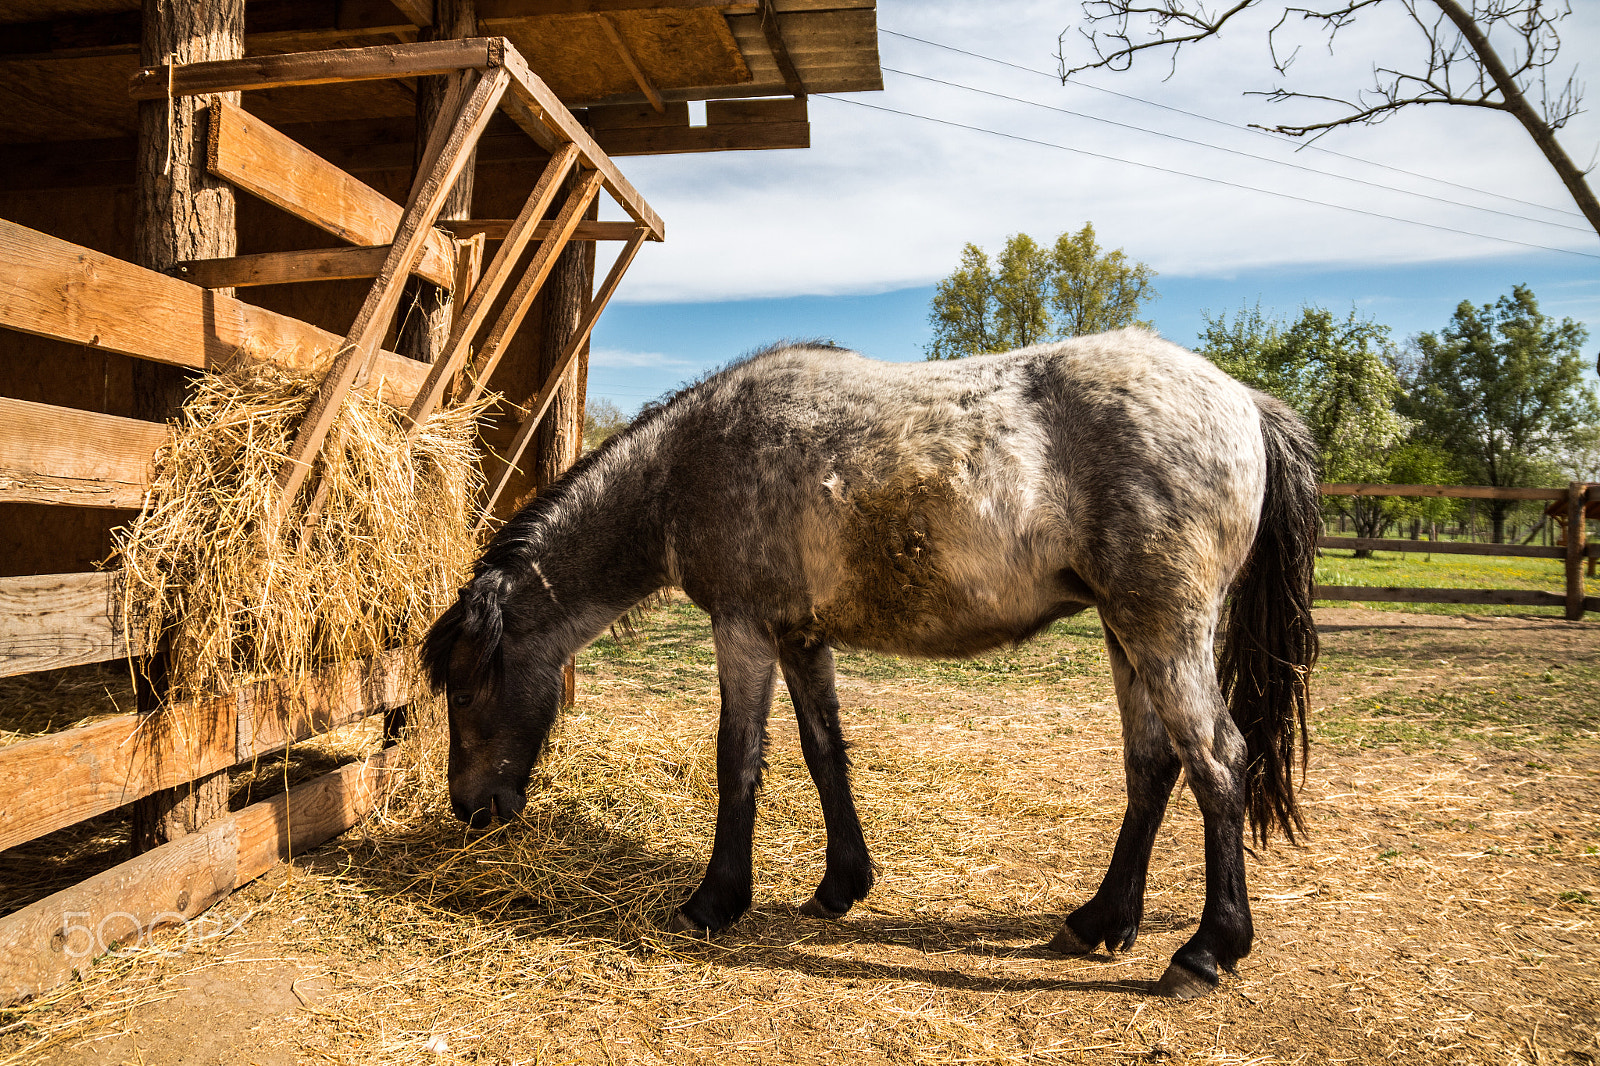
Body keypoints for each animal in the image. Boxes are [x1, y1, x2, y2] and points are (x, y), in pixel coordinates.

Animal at [419, 326, 1318, 998]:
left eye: (464, 692)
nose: (472, 809)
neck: (689, 463)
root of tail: (1244, 401)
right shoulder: (798, 638)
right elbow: (825, 755)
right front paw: (841, 885)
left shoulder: (742, 630)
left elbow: (737, 760)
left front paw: (715, 899)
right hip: (1125, 634)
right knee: (1153, 767)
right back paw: (1102, 920)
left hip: (1163, 630)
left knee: (1218, 763)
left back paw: (1206, 950)